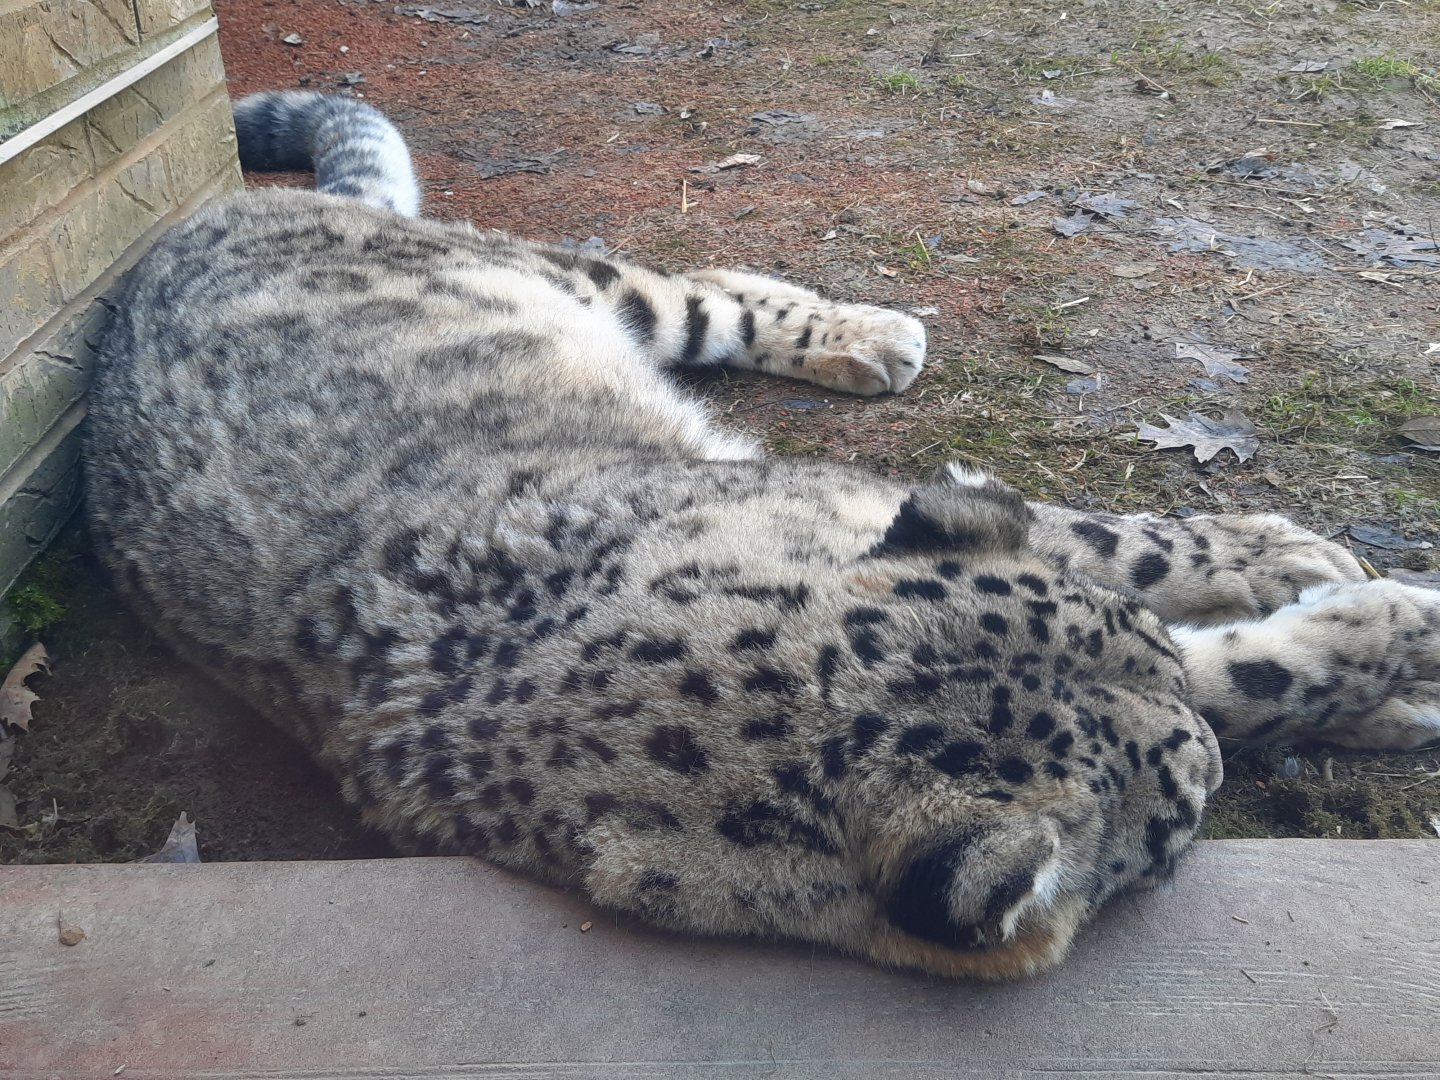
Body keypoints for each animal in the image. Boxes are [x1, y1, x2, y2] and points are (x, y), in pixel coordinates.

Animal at [84, 91, 1440, 980]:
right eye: (1184, 809)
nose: (1207, 764)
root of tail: (193, 229)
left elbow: (1129, 553)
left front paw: (1318, 590)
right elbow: (1225, 645)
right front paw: (1378, 637)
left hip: (593, 289)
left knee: (714, 287)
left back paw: (875, 334)